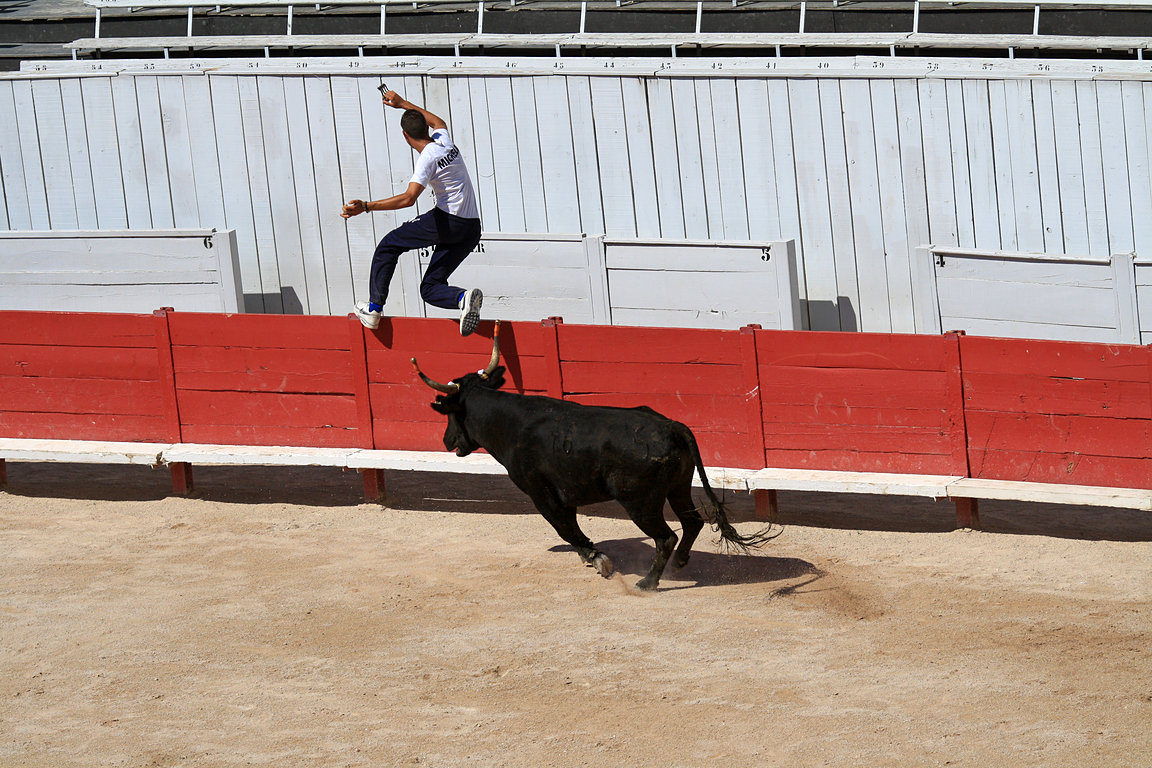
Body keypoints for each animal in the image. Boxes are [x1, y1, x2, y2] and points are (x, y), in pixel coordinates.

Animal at [410, 322, 778, 594]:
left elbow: (565, 529)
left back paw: (648, 582)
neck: (513, 423)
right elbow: (569, 528)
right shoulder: (564, 495)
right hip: (678, 486)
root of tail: (673, 426)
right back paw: (680, 562)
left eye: (450, 413)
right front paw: (592, 557)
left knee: (666, 536)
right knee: (692, 523)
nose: (447, 441)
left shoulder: (542, 494)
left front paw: (598, 558)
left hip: (639, 501)